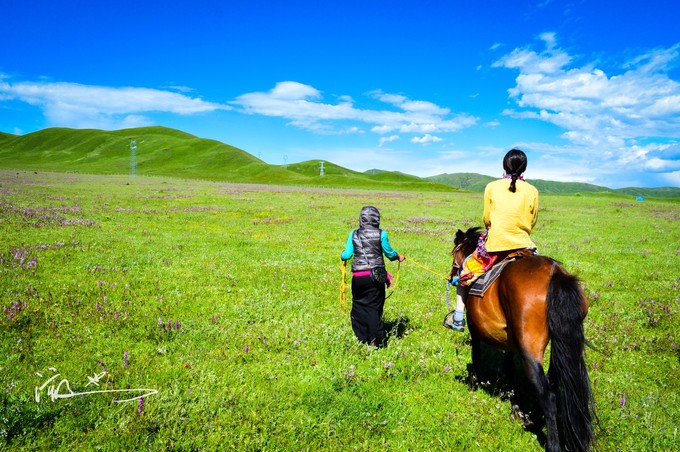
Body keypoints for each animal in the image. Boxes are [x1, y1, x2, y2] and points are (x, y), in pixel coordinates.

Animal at [452, 228, 596, 450]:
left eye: (454, 253)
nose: (452, 275)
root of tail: (555, 273)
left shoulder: (476, 333)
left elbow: (476, 358)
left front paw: (472, 386)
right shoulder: (510, 343)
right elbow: (509, 369)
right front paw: (515, 405)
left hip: (530, 350)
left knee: (547, 395)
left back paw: (552, 443)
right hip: (560, 344)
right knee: (553, 382)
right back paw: (533, 417)